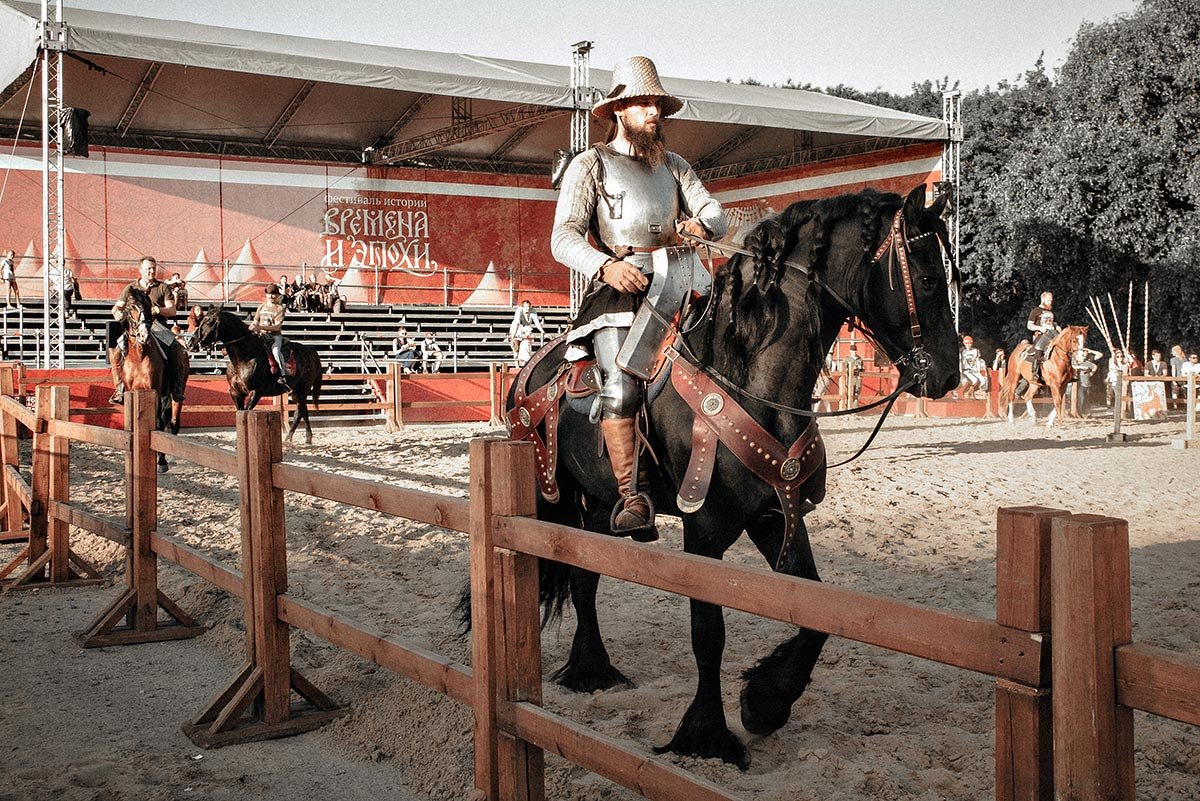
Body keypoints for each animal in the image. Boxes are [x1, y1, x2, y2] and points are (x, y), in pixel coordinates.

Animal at [115, 286, 188, 470]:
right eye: (131, 307)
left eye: (148, 306)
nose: (144, 334)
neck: (139, 356)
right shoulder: (132, 391)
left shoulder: (154, 390)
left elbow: (158, 423)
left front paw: (161, 461)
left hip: (174, 394)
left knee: (172, 421)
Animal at [192, 309, 324, 443]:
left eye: (209, 322)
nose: (192, 342)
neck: (245, 357)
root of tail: (311, 350)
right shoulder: (235, 393)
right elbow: (239, 413)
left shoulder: (255, 392)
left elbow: (245, 414)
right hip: (296, 391)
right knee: (303, 410)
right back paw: (296, 438)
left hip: (302, 389)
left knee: (300, 411)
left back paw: (297, 438)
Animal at [496, 184, 955, 767]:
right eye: (928, 279)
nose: (948, 373)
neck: (746, 377)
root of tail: (530, 370)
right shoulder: (705, 528)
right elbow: (707, 634)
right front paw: (707, 735)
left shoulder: (773, 515)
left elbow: (814, 611)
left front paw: (765, 703)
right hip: (549, 496)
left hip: (598, 503)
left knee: (584, 577)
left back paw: (592, 671)